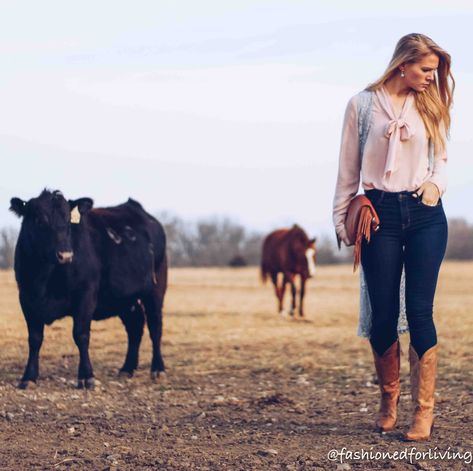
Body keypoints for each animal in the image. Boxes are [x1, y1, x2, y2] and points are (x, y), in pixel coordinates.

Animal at [9, 191, 168, 390]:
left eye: (68, 220)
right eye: (39, 220)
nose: (65, 255)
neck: (45, 278)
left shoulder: (85, 295)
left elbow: (81, 335)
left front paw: (86, 376)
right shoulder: (27, 298)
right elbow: (35, 338)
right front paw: (28, 377)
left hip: (156, 287)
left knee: (155, 326)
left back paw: (158, 369)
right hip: (123, 299)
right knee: (135, 325)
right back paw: (127, 368)